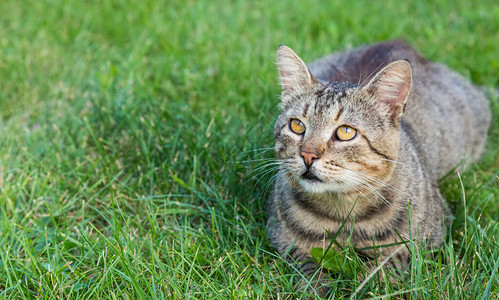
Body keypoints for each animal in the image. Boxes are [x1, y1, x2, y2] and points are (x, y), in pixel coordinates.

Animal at [268, 39, 490, 296]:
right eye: (297, 126)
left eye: (345, 132)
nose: (307, 155)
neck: (343, 215)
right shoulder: (285, 240)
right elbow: (309, 272)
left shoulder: (426, 240)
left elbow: (382, 269)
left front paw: (361, 287)